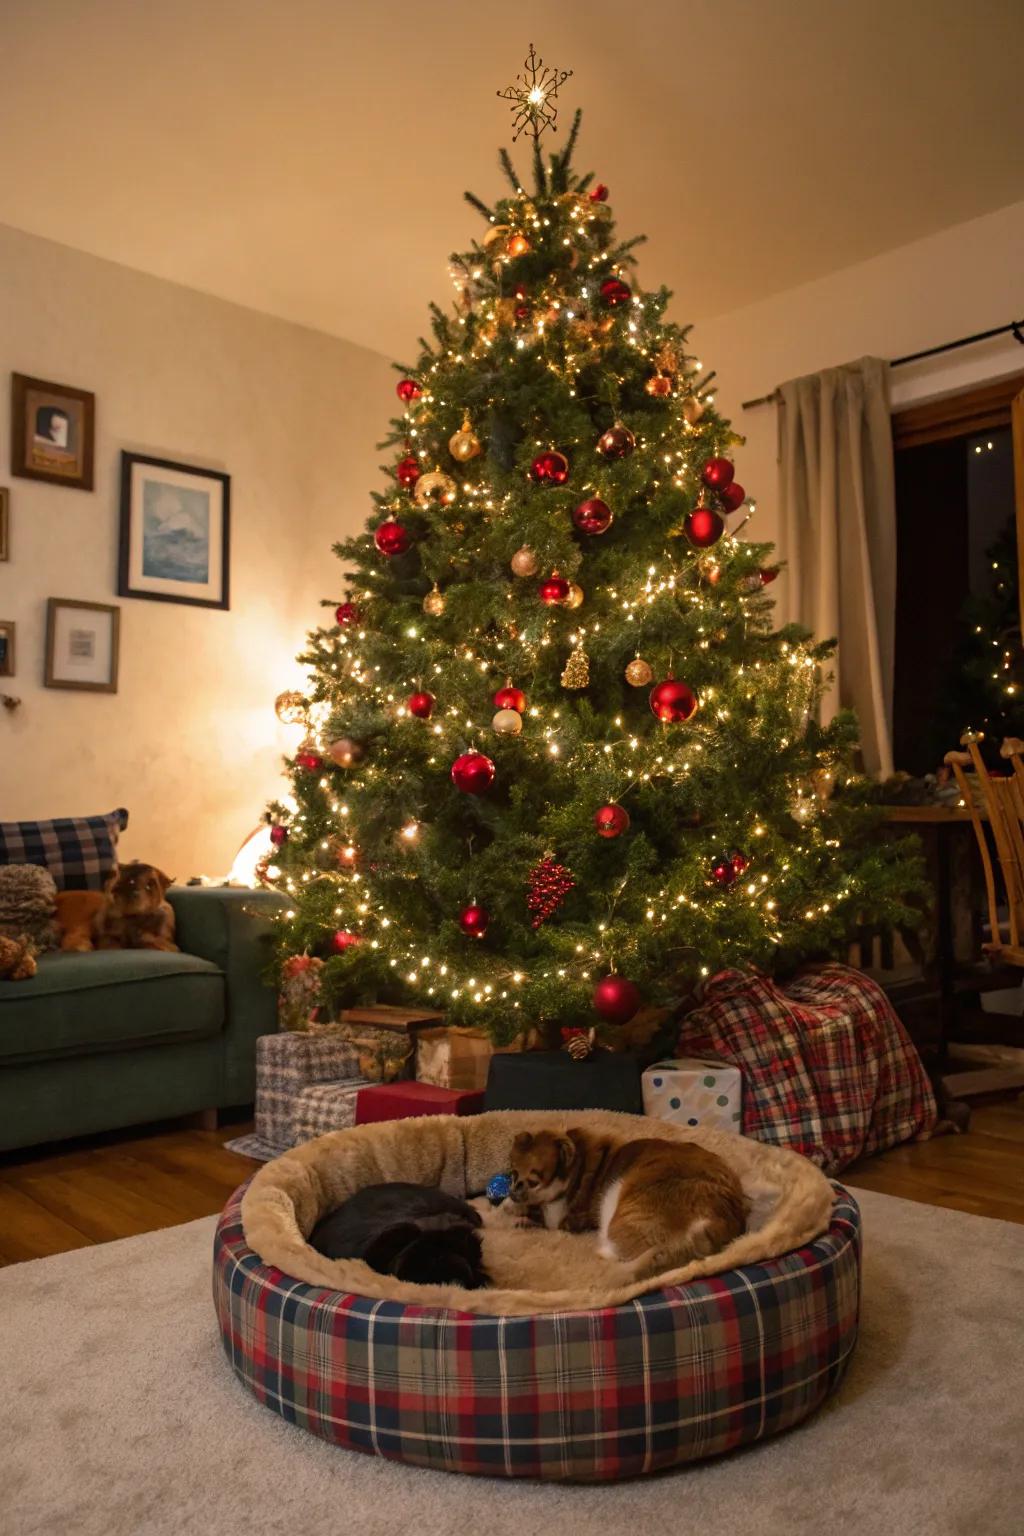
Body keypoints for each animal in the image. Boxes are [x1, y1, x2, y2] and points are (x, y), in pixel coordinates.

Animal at [509, 1130, 749, 1271]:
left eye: (533, 1181)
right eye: (512, 1174)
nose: (512, 1192)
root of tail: (713, 1219)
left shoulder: (558, 1216)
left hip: (619, 1214)